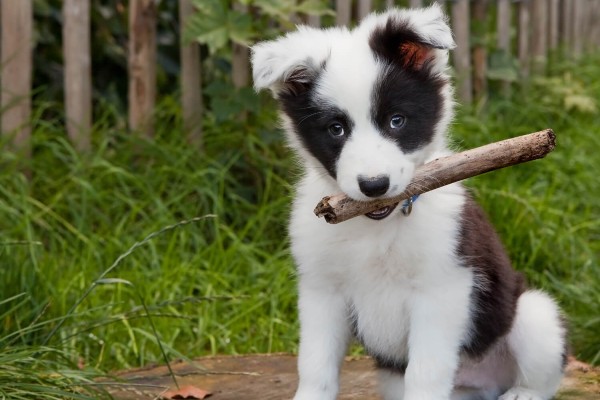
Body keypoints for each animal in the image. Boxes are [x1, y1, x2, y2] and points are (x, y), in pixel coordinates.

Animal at [250, 3, 568, 400]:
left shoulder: (442, 287)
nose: (374, 185)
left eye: (396, 121)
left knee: (542, 374)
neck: (376, 229)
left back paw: (521, 393)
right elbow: (315, 365)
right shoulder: (322, 290)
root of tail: (481, 383)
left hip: (533, 313)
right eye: (336, 129)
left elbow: (425, 372)